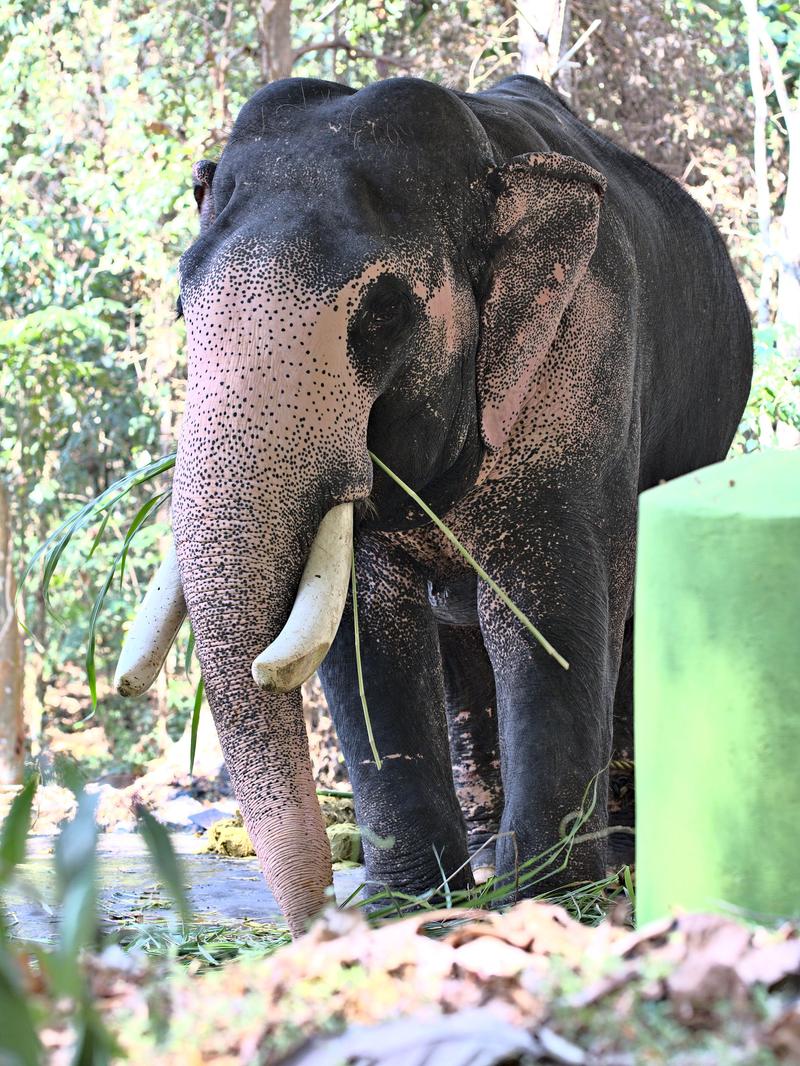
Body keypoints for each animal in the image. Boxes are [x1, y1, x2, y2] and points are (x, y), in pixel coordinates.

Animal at [115, 75, 755, 938]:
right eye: (184, 310)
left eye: (380, 314)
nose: (320, 921)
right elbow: (367, 629)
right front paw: (412, 910)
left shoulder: (585, 361)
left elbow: (550, 609)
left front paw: (548, 903)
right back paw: (484, 852)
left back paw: (614, 853)